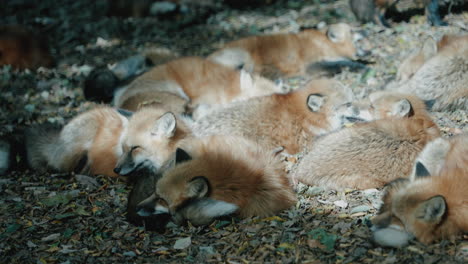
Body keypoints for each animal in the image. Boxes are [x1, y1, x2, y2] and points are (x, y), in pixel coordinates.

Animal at [207, 23, 368, 79]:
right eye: (352, 30)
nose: (366, 30)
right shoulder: (310, 66)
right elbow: (343, 63)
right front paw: (361, 67)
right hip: (241, 56)